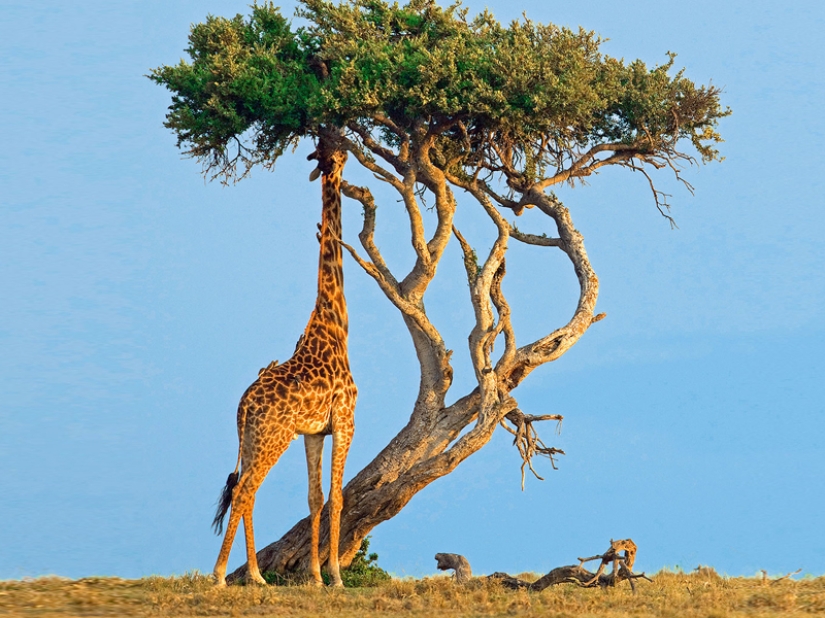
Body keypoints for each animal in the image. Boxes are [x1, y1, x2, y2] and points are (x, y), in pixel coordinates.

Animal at [211, 139, 356, 587]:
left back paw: (257, 575)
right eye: (334, 152)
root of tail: (243, 405)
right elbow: (337, 495)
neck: (336, 325)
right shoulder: (346, 420)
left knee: (245, 491)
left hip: (255, 438)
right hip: (272, 437)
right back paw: (220, 574)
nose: (346, 154)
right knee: (244, 490)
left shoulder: (313, 431)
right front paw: (335, 576)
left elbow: (314, 497)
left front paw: (314, 576)